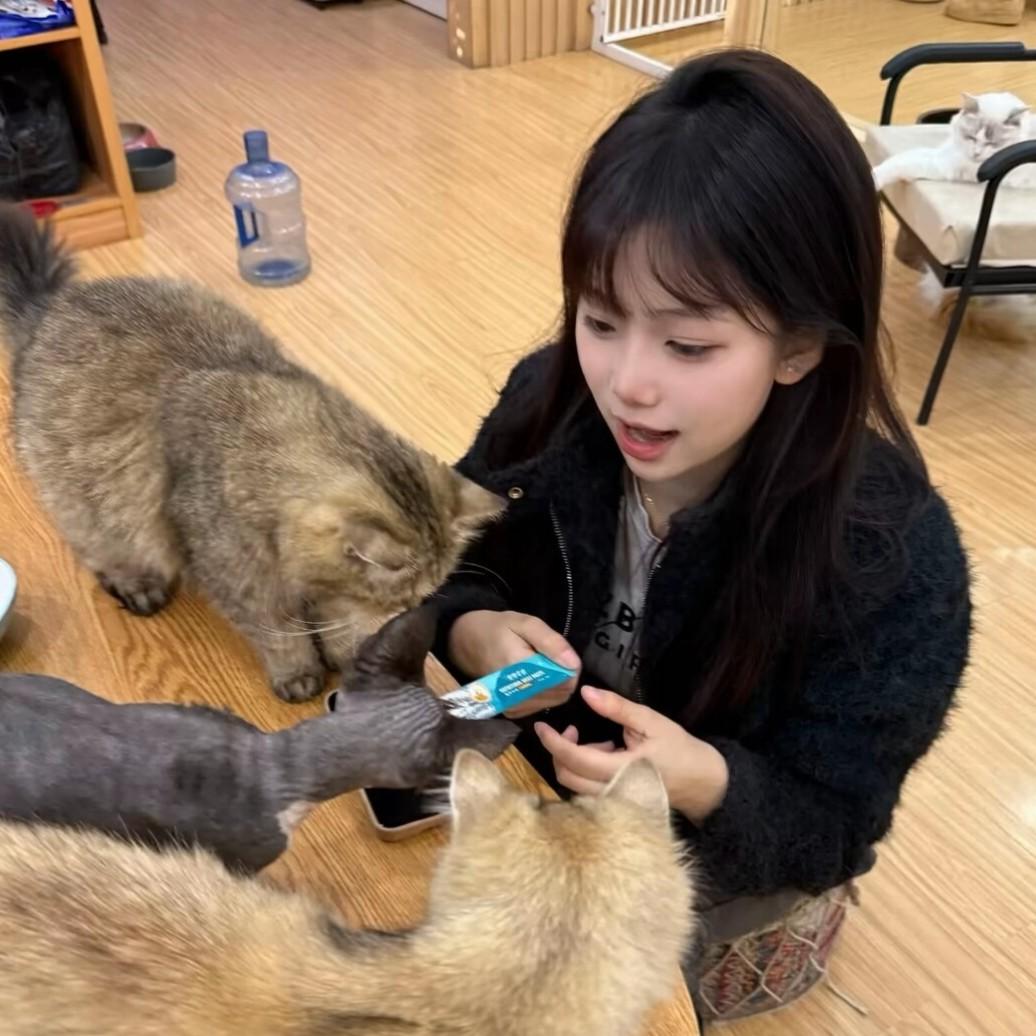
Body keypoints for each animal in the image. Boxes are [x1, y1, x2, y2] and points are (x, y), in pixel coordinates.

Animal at [0, 203, 502, 702]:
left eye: (419, 598)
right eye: (401, 599)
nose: (412, 608)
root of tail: (49, 305)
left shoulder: (326, 593)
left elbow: (336, 627)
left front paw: (348, 658)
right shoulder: (246, 587)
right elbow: (280, 636)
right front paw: (300, 674)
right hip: (84, 505)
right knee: (100, 548)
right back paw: (136, 583)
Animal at [873, 91, 1035, 190]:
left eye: (991, 144)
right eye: (971, 137)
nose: (976, 153)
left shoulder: (941, 165)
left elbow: (900, 163)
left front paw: (874, 178)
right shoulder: (943, 154)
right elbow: (902, 156)